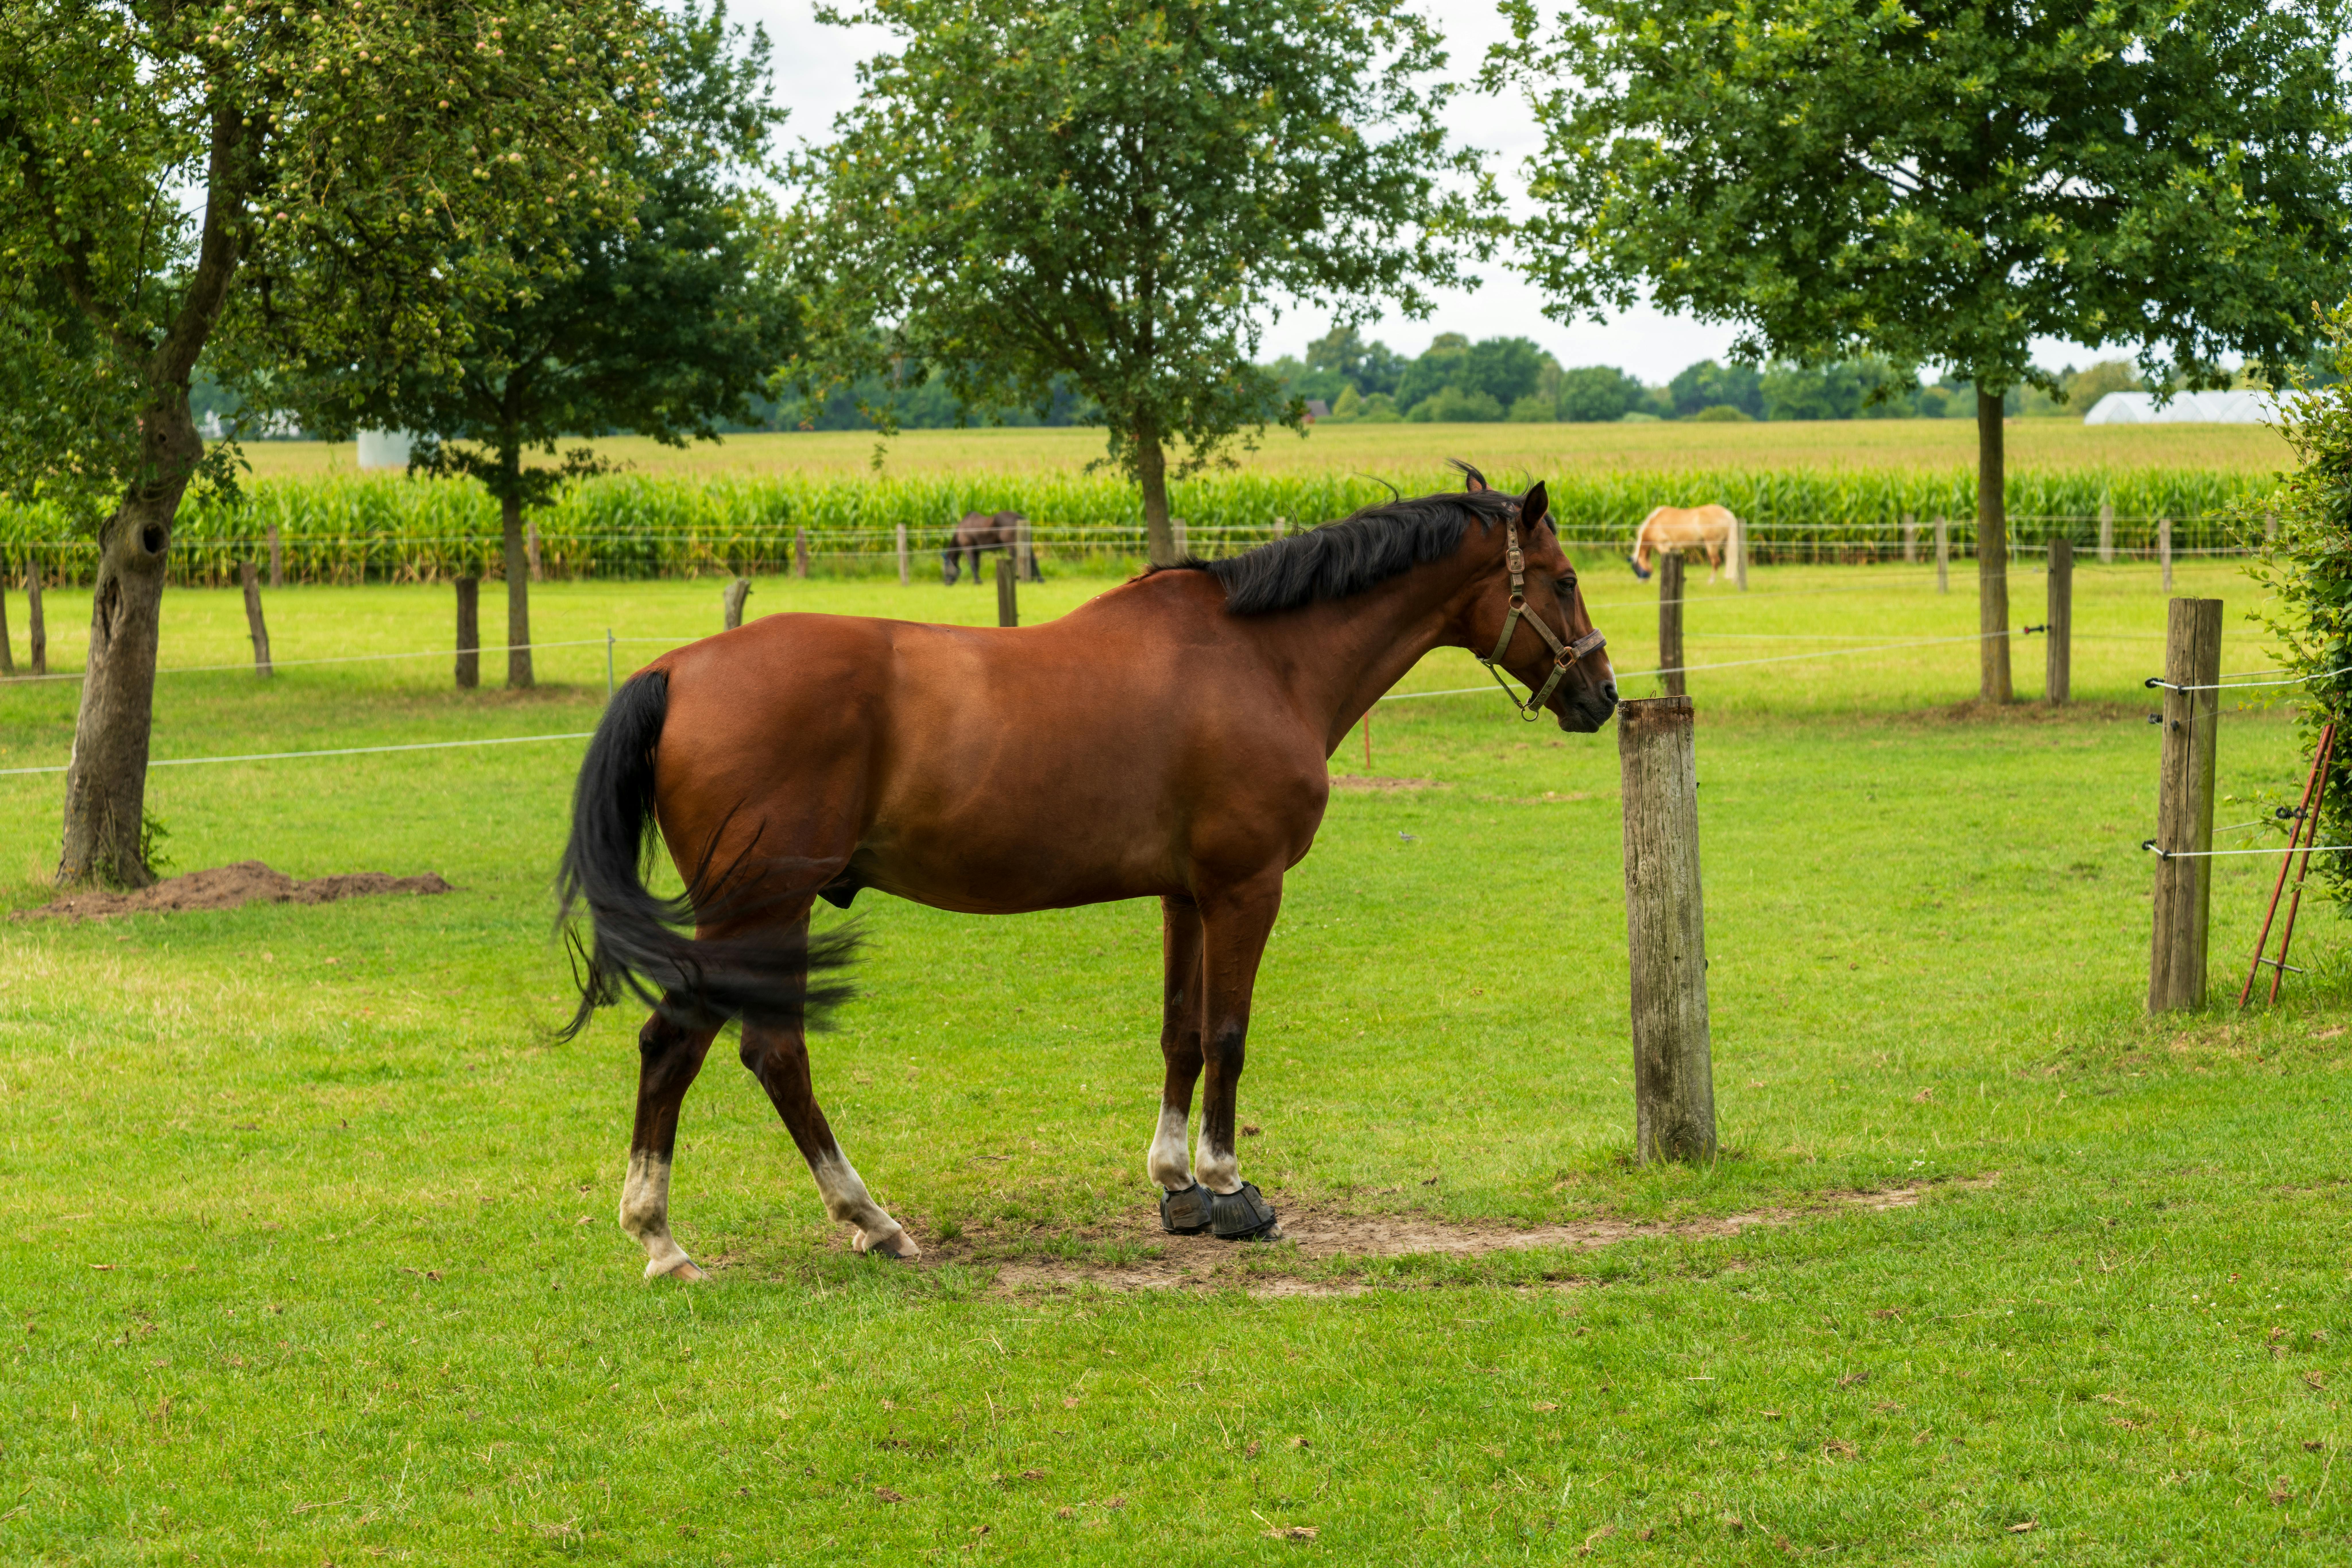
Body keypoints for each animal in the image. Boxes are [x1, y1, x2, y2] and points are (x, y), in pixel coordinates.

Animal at [942, 510, 1038, 585]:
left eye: (944, 568)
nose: (946, 583)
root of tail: (1019, 518)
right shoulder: (977, 551)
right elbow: (977, 565)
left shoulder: (968, 549)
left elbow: (973, 564)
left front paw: (977, 582)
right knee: (1032, 559)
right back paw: (1038, 580)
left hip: (1012, 547)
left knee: (1017, 560)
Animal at [1630, 504, 1741, 581]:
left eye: (1636, 568)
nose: (1642, 582)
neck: (1655, 523)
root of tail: (1728, 514)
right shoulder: (1675, 550)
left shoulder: (1663, 547)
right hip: (1727, 544)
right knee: (1732, 559)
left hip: (1712, 545)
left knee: (1716, 562)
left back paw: (1711, 582)